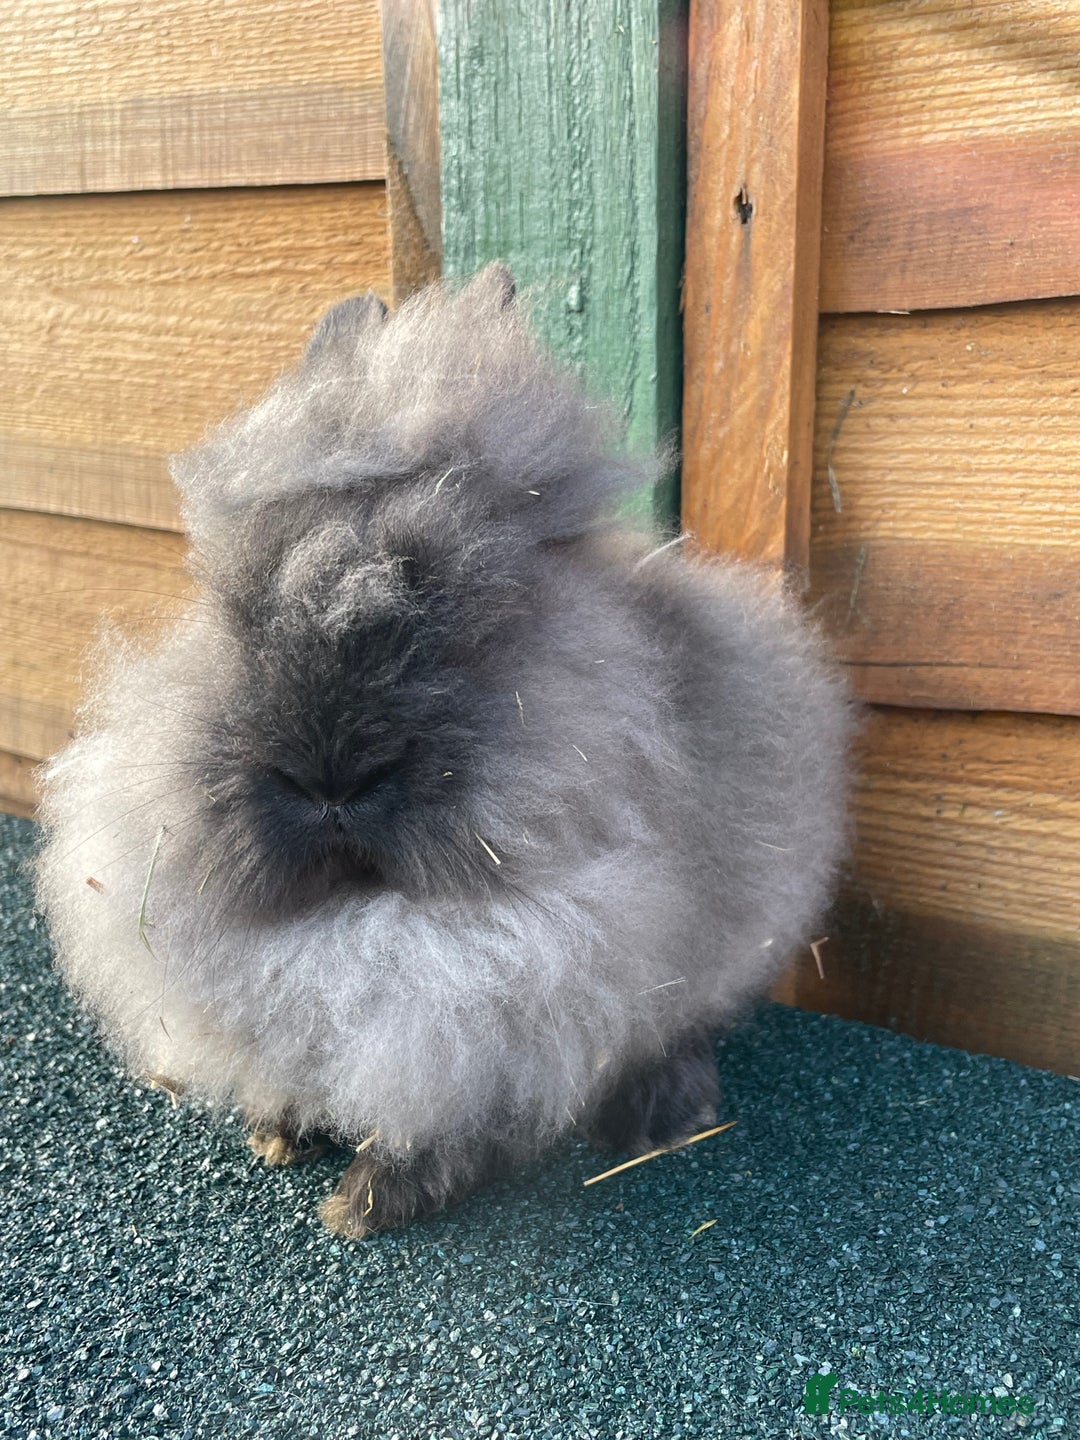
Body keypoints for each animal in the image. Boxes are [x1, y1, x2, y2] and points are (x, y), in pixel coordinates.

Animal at [34, 265, 851, 1237]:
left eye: (473, 618)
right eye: (234, 605)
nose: (332, 777)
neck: (366, 919)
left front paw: (364, 1204)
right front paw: (278, 1133)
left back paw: (663, 1115)